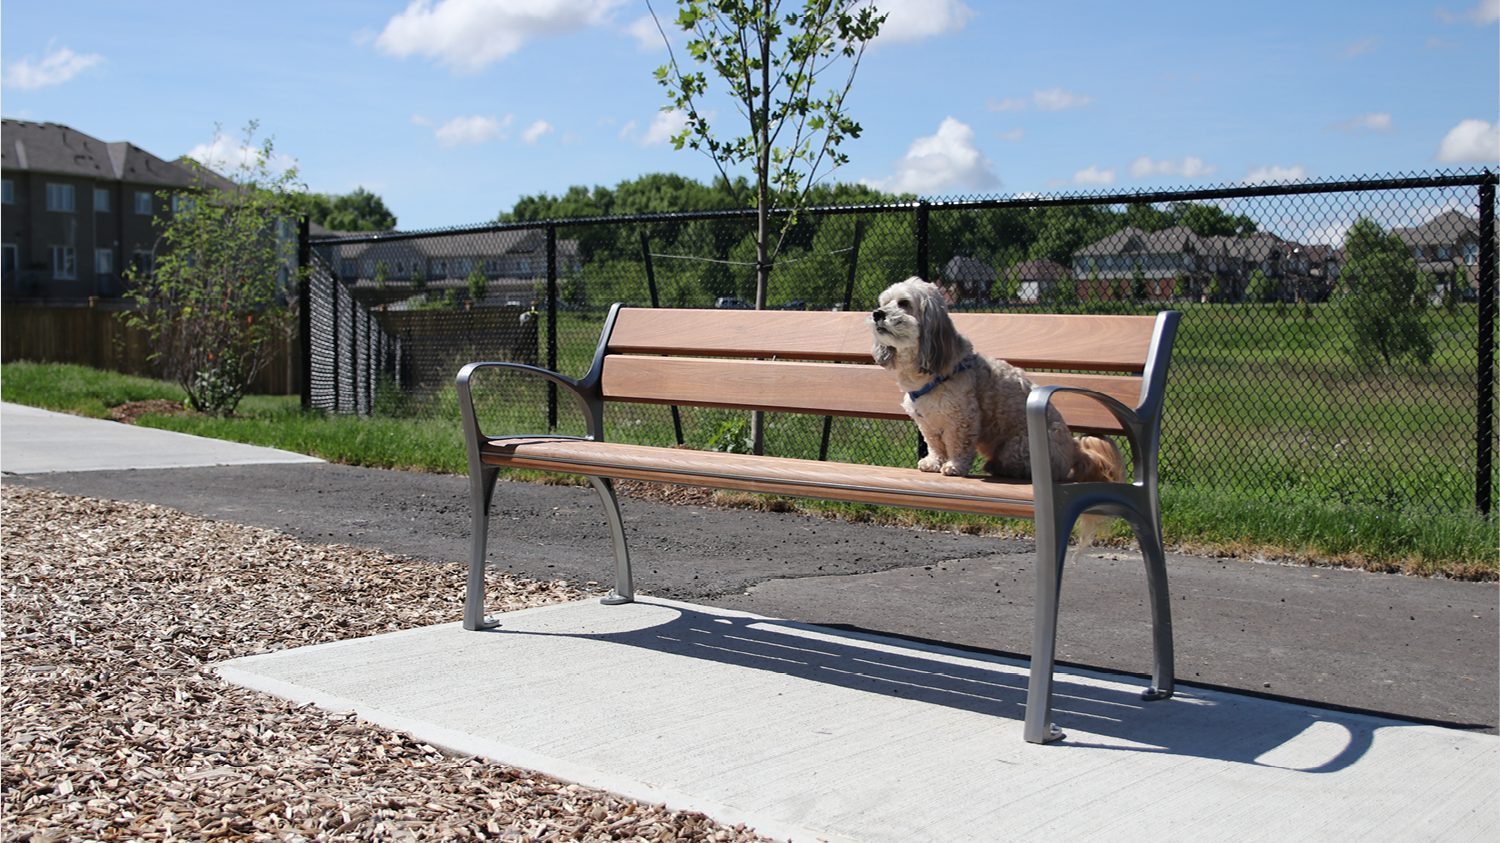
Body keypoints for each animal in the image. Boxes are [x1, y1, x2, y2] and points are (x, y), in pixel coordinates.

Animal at [870, 276, 1128, 483]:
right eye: (884, 303)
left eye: (904, 303)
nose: (877, 313)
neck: (926, 372)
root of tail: (1074, 449)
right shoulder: (927, 421)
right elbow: (935, 444)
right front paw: (934, 462)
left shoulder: (962, 417)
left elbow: (958, 443)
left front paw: (954, 466)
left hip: (1017, 447)